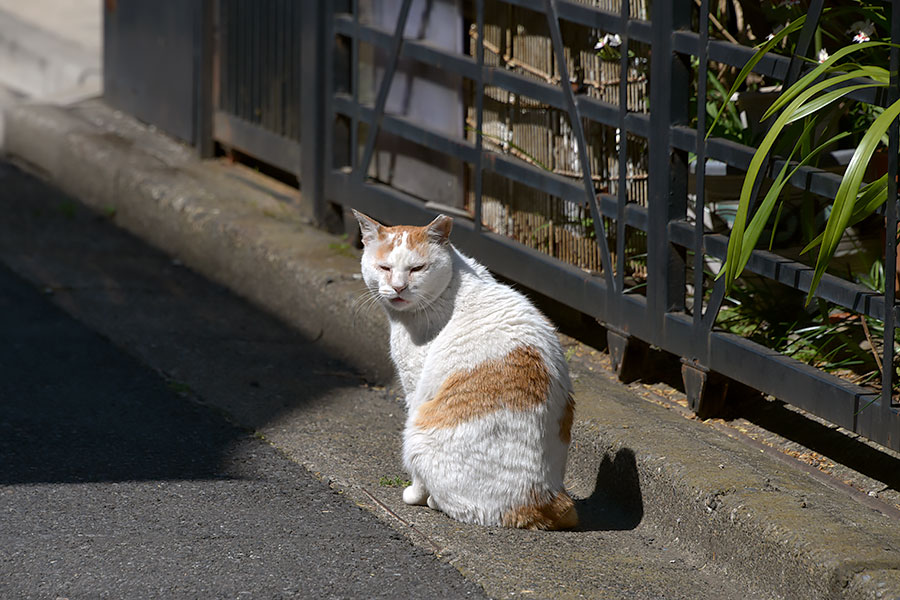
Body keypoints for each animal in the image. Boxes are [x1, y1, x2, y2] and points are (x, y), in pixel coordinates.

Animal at [352, 211, 576, 528]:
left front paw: (414, 494)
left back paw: (431, 499)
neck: (453, 284)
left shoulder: (415, 388)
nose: (398, 287)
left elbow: (417, 480)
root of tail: (543, 498)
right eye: (384, 268)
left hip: (418, 433)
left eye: (417, 268)